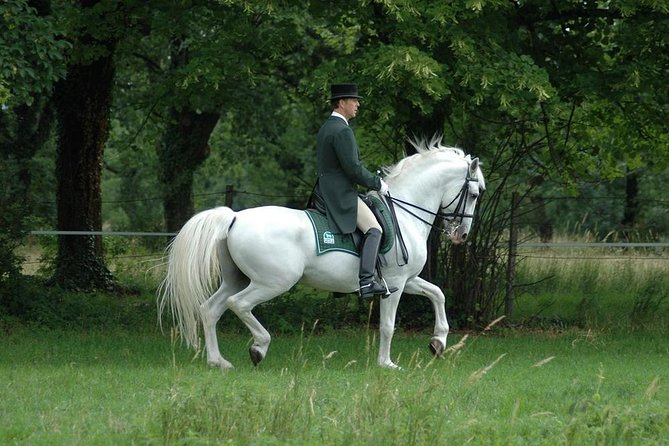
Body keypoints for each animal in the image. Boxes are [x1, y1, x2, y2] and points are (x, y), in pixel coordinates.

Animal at [158, 136, 485, 370]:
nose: (461, 235)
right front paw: (387, 364)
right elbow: (388, 325)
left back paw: (218, 361)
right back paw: (258, 347)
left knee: (210, 309)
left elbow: (437, 294)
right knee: (239, 305)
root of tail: (234, 217)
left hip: (236, 279)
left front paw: (438, 341)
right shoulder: (395, 283)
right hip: (272, 282)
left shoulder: (406, 280)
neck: (405, 213)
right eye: (473, 194)